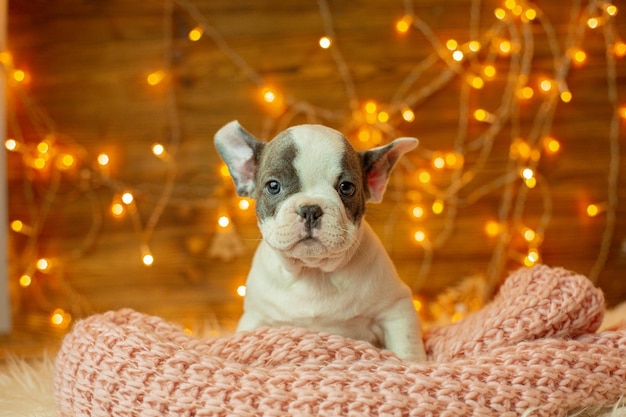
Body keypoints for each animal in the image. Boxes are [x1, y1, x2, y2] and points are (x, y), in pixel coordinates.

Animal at [213, 120, 424, 360]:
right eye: (273, 186)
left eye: (346, 188)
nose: (310, 209)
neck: (313, 271)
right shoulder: (256, 317)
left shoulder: (396, 308)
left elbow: (407, 349)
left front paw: (414, 364)